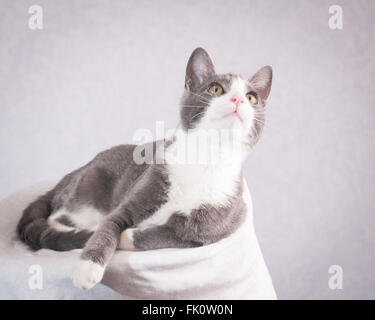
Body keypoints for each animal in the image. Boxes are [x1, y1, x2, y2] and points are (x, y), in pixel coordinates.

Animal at [16, 47, 274, 290]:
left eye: (251, 97)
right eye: (216, 89)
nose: (239, 100)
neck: (205, 157)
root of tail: (70, 175)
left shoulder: (221, 222)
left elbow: (172, 233)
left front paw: (126, 237)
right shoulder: (143, 187)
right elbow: (109, 226)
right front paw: (87, 267)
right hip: (86, 193)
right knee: (54, 218)